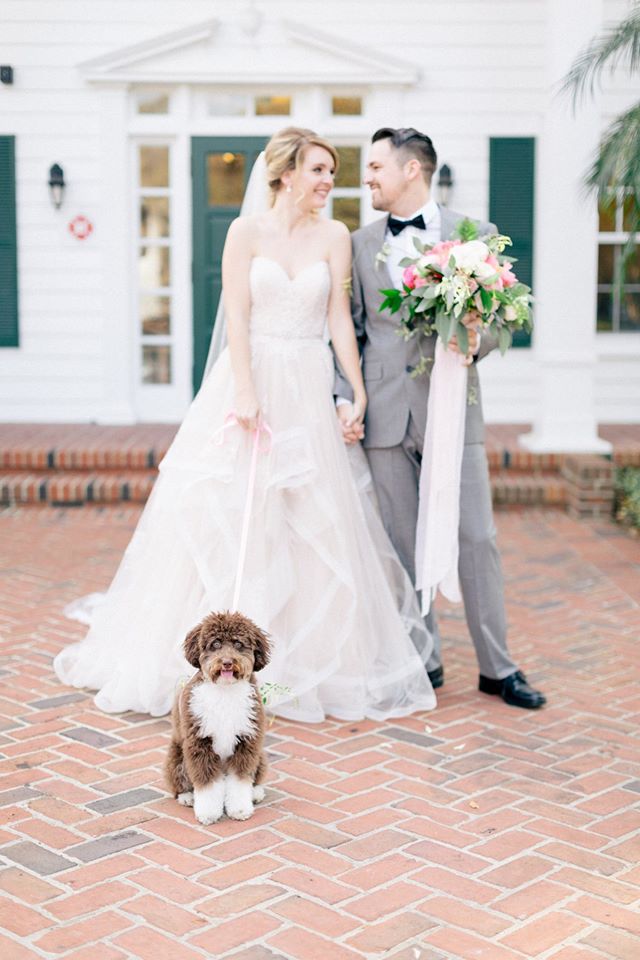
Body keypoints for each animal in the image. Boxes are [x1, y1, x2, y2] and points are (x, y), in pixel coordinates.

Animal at [165, 608, 270, 824]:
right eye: (215, 644)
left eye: (238, 644)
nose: (227, 663)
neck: (225, 691)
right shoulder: (199, 742)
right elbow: (207, 783)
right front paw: (208, 812)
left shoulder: (247, 741)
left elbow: (240, 780)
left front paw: (240, 809)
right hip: (177, 756)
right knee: (179, 781)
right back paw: (187, 796)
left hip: (260, 756)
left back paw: (255, 793)